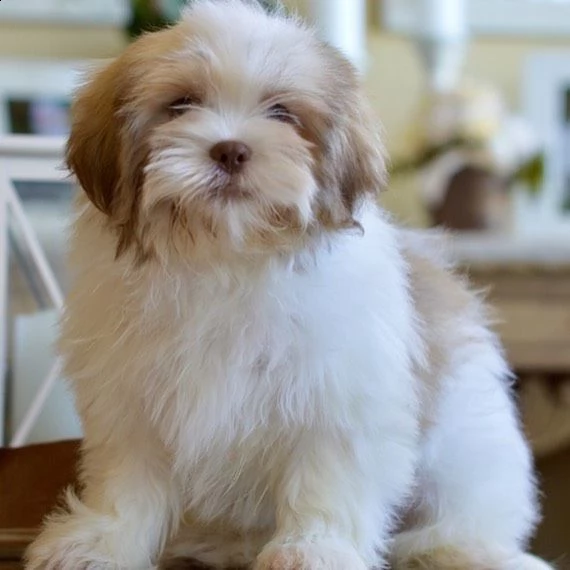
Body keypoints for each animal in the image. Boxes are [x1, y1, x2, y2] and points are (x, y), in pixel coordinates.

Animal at [25, 1, 552, 568]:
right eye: (181, 105)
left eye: (281, 112)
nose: (230, 150)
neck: (228, 255)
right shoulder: (130, 397)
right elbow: (127, 480)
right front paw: (101, 541)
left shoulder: (337, 392)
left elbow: (324, 476)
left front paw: (312, 548)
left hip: (468, 452)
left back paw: (459, 547)